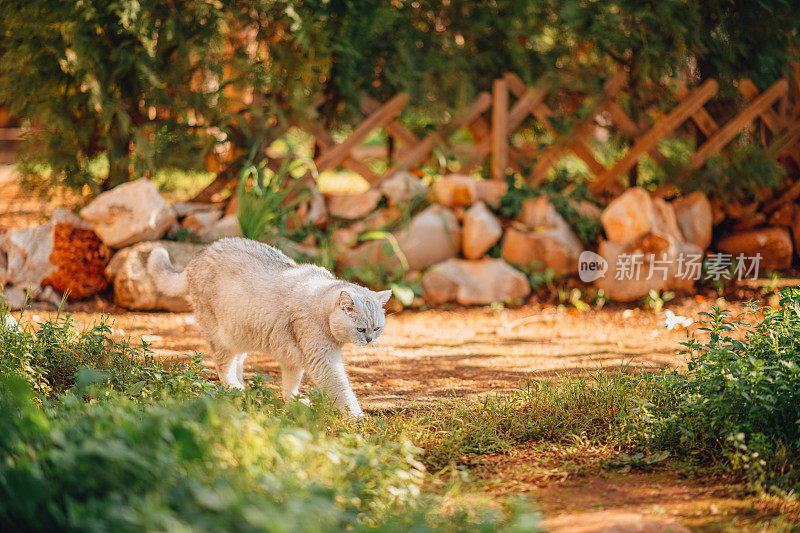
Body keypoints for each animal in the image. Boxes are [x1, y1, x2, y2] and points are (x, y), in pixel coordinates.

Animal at [148, 237, 392, 416]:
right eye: (361, 329)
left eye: (376, 328)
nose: (370, 340)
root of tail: (198, 256)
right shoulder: (323, 362)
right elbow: (342, 391)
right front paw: (357, 418)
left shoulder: (295, 357)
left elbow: (290, 382)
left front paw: (292, 400)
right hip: (220, 337)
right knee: (223, 366)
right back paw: (234, 387)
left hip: (239, 333)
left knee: (237, 362)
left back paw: (243, 387)